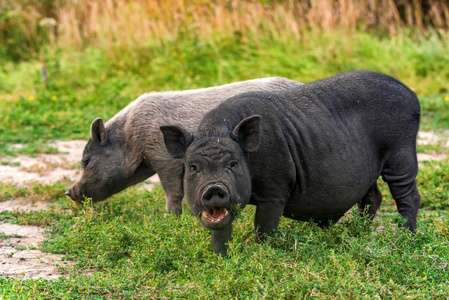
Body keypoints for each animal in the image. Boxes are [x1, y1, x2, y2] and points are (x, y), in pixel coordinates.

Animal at [65, 77, 300, 213]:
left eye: (86, 161)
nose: (68, 192)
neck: (131, 138)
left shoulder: (163, 157)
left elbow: (172, 191)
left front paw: (169, 218)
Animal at [161, 70, 420, 255]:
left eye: (233, 164)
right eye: (193, 168)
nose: (214, 187)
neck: (216, 132)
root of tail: (411, 93)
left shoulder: (276, 189)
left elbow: (264, 226)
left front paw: (262, 253)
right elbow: (221, 230)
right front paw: (219, 258)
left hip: (402, 151)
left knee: (408, 196)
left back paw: (405, 238)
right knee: (372, 197)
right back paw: (359, 232)